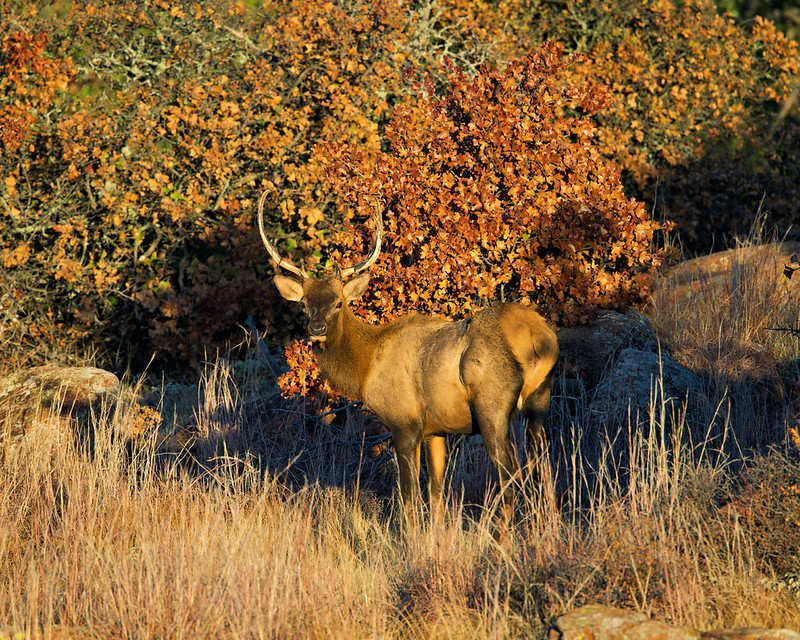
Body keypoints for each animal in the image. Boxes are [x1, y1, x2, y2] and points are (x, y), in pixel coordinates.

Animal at [258, 192, 559, 532]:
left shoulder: (404, 420)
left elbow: (409, 494)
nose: (316, 329)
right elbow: (437, 492)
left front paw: (411, 540)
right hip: (540, 400)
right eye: (305, 305)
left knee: (510, 476)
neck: (366, 368)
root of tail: (537, 336)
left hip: (492, 405)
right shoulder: (435, 429)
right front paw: (437, 538)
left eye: (338, 303)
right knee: (544, 470)